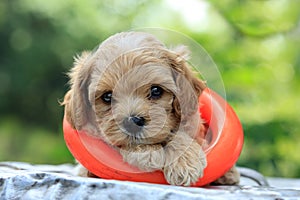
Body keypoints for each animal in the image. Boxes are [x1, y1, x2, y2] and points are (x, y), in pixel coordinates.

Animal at [62, 31, 239, 186]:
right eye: (107, 97)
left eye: (156, 91)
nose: (132, 122)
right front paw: (146, 152)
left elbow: (181, 133)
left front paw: (185, 162)